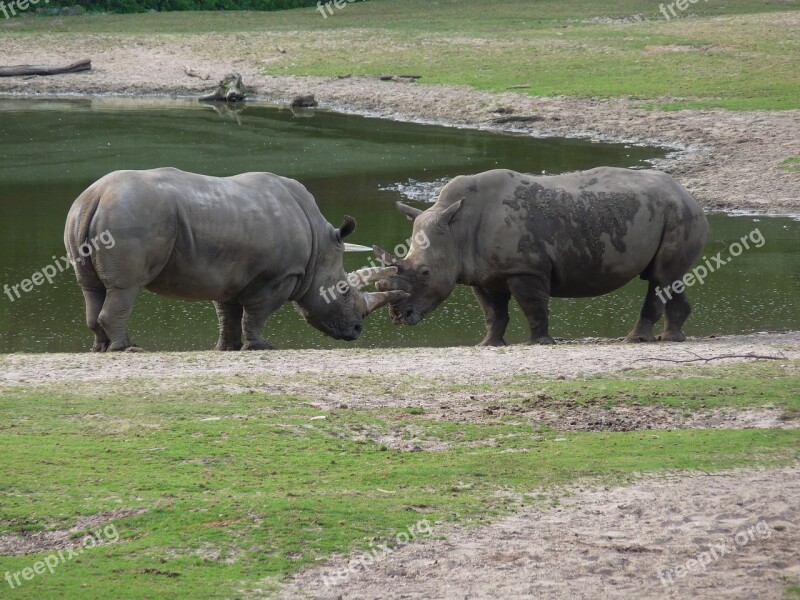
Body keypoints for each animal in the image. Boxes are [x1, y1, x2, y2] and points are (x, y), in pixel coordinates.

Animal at [62, 168, 406, 352]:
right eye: (344, 291)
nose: (357, 330)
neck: (320, 249)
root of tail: (95, 196)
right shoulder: (279, 276)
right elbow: (256, 313)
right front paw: (261, 347)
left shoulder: (227, 273)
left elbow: (227, 313)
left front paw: (227, 348)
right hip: (129, 214)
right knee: (125, 287)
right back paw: (128, 348)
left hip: (81, 213)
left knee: (91, 288)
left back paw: (101, 348)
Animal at [374, 169, 708, 344]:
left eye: (425, 273)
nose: (398, 317)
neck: (457, 230)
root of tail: (689, 194)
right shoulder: (481, 273)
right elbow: (493, 312)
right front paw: (489, 344)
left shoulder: (525, 268)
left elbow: (533, 307)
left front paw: (540, 343)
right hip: (674, 212)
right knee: (669, 278)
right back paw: (672, 338)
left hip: (678, 213)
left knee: (660, 278)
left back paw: (635, 339)